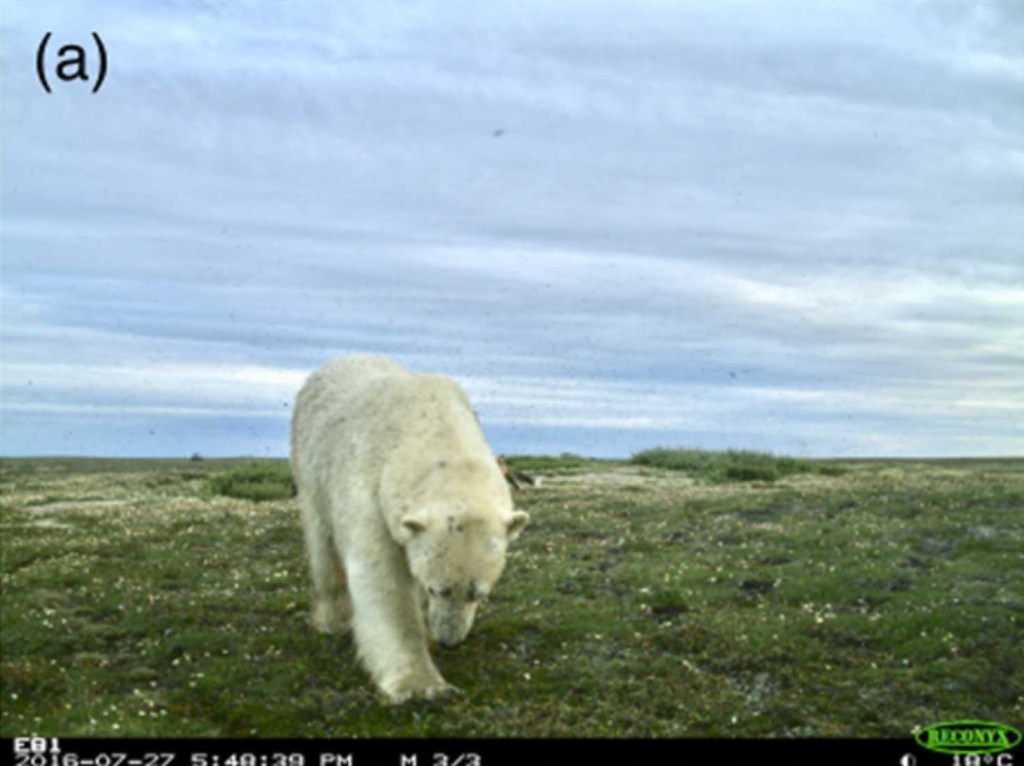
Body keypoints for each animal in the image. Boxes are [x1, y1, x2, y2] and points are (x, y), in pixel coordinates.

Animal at [289, 355, 529, 703]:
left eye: (479, 593)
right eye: (437, 588)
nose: (449, 642)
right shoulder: (369, 490)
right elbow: (383, 579)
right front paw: (422, 685)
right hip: (311, 472)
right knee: (324, 549)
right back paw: (331, 620)